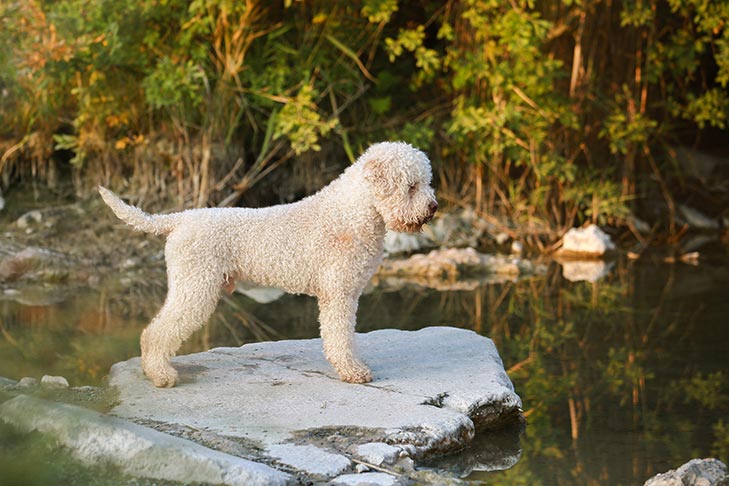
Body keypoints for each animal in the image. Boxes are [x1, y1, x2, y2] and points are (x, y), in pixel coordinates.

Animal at [99, 140, 436, 388]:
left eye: (426, 182)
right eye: (411, 186)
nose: (433, 207)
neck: (352, 214)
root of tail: (179, 219)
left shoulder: (347, 295)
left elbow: (347, 336)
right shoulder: (338, 294)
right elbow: (339, 337)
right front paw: (353, 372)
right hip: (195, 287)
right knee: (156, 332)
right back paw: (161, 375)